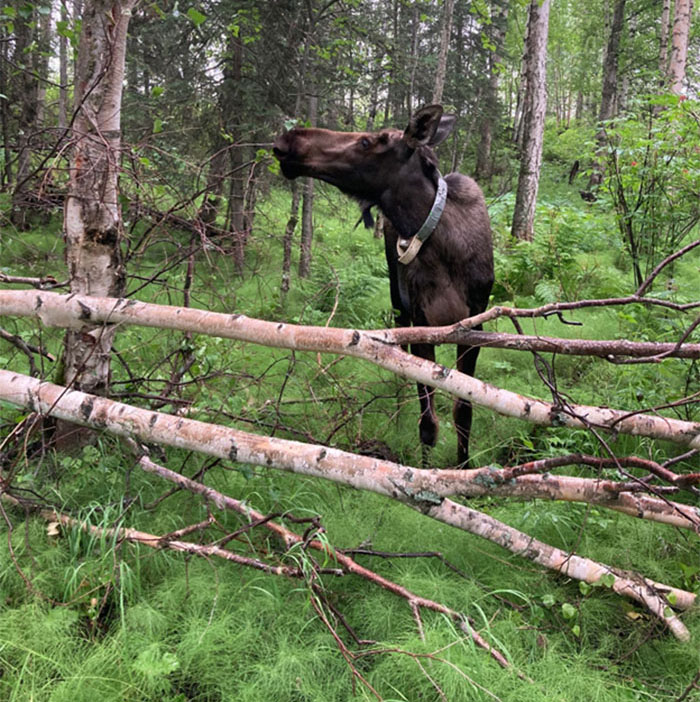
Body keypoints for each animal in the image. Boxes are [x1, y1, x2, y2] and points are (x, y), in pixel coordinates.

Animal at [274, 106, 492, 468]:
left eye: (367, 141)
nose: (287, 140)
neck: (439, 245)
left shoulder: (476, 322)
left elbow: (463, 410)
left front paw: (462, 463)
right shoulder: (420, 321)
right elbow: (428, 419)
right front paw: (424, 468)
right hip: (398, 300)